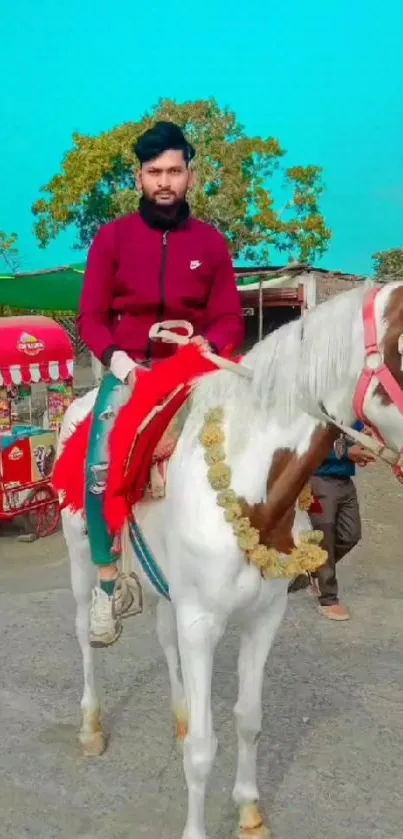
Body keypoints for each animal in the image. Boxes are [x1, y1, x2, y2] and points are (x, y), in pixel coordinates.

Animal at [59, 282, 403, 839]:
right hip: (79, 560)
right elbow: (203, 749)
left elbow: (249, 719)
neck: (249, 490)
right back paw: (91, 724)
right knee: (82, 631)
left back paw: (179, 713)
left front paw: (249, 813)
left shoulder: (263, 617)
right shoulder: (202, 622)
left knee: (164, 635)